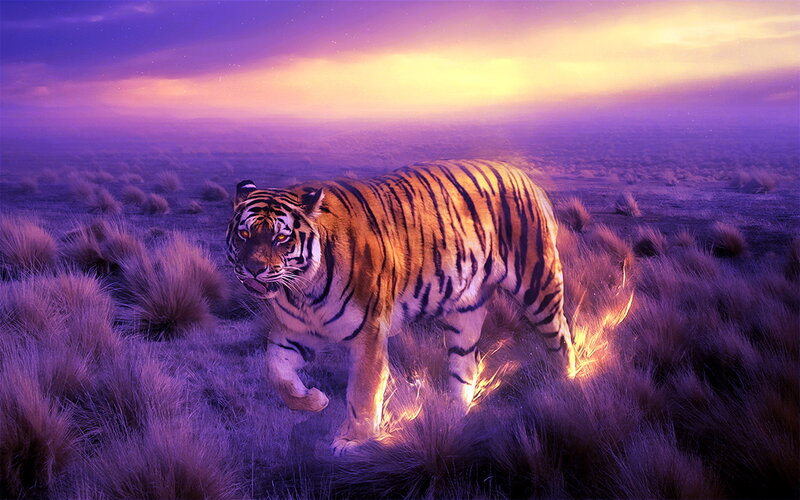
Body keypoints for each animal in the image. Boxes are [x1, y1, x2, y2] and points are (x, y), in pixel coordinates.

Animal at [226, 160, 576, 455]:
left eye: (281, 239)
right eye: (244, 234)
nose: (253, 269)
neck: (301, 291)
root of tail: (524, 176)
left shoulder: (368, 333)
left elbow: (364, 391)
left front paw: (353, 441)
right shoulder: (295, 331)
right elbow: (276, 371)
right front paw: (315, 400)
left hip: (539, 286)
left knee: (561, 339)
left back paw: (566, 386)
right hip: (465, 311)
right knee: (466, 366)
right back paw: (452, 416)